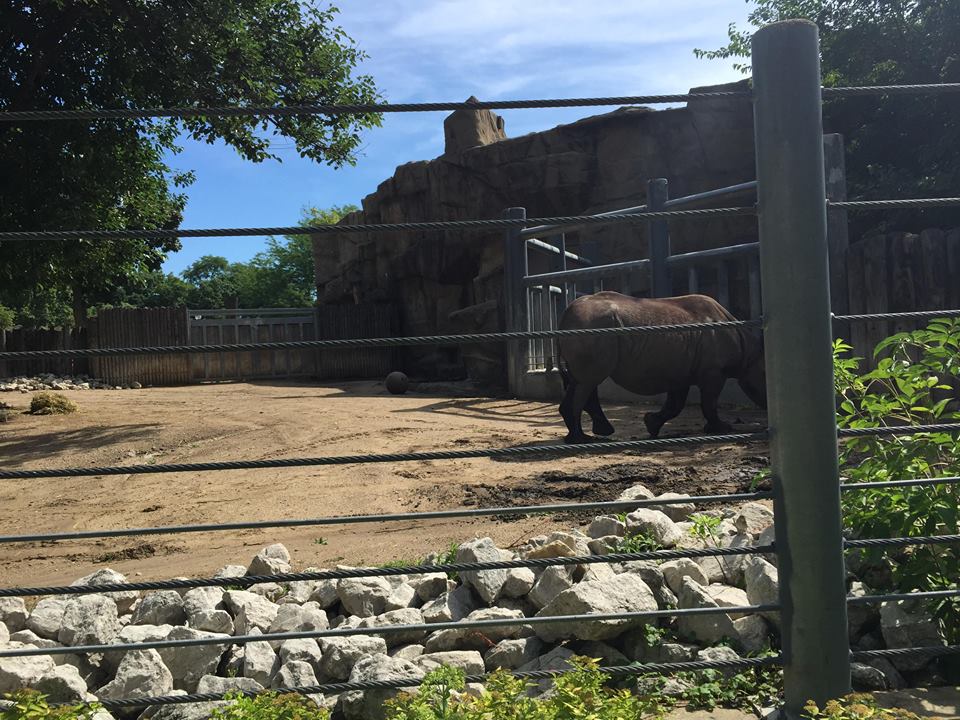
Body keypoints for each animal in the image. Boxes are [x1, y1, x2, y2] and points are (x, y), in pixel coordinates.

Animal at [556, 291, 766, 443]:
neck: (751, 352)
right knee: (589, 381)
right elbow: (709, 402)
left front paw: (651, 424)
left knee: (582, 381)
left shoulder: (681, 372)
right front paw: (722, 429)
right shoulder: (714, 371)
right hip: (592, 327)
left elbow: (675, 404)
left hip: (589, 326)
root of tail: (565, 315)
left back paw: (594, 433)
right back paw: (581, 439)